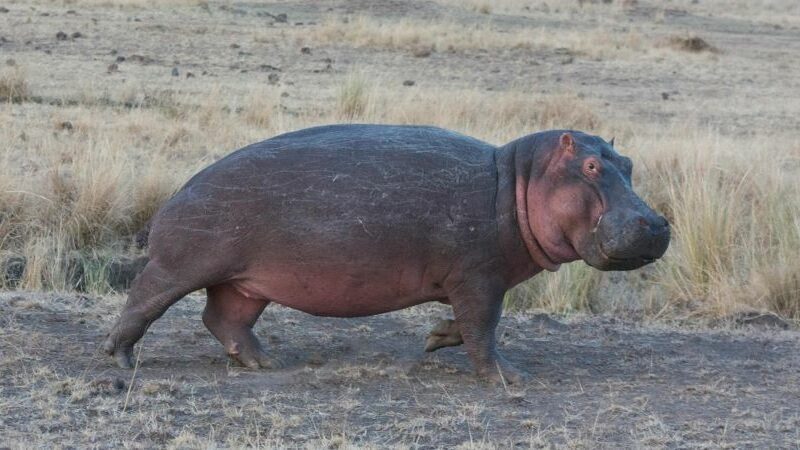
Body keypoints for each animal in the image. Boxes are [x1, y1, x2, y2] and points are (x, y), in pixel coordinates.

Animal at [103, 124, 669, 383]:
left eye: (629, 163)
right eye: (592, 167)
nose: (659, 223)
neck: (519, 182)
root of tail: (182, 187)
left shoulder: (473, 282)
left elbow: (467, 324)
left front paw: (435, 338)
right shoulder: (479, 277)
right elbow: (484, 329)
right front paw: (509, 378)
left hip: (248, 281)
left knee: (225, 318)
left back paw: (268, 362)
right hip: (182, 265)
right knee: (144, 298)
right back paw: (121, 358)